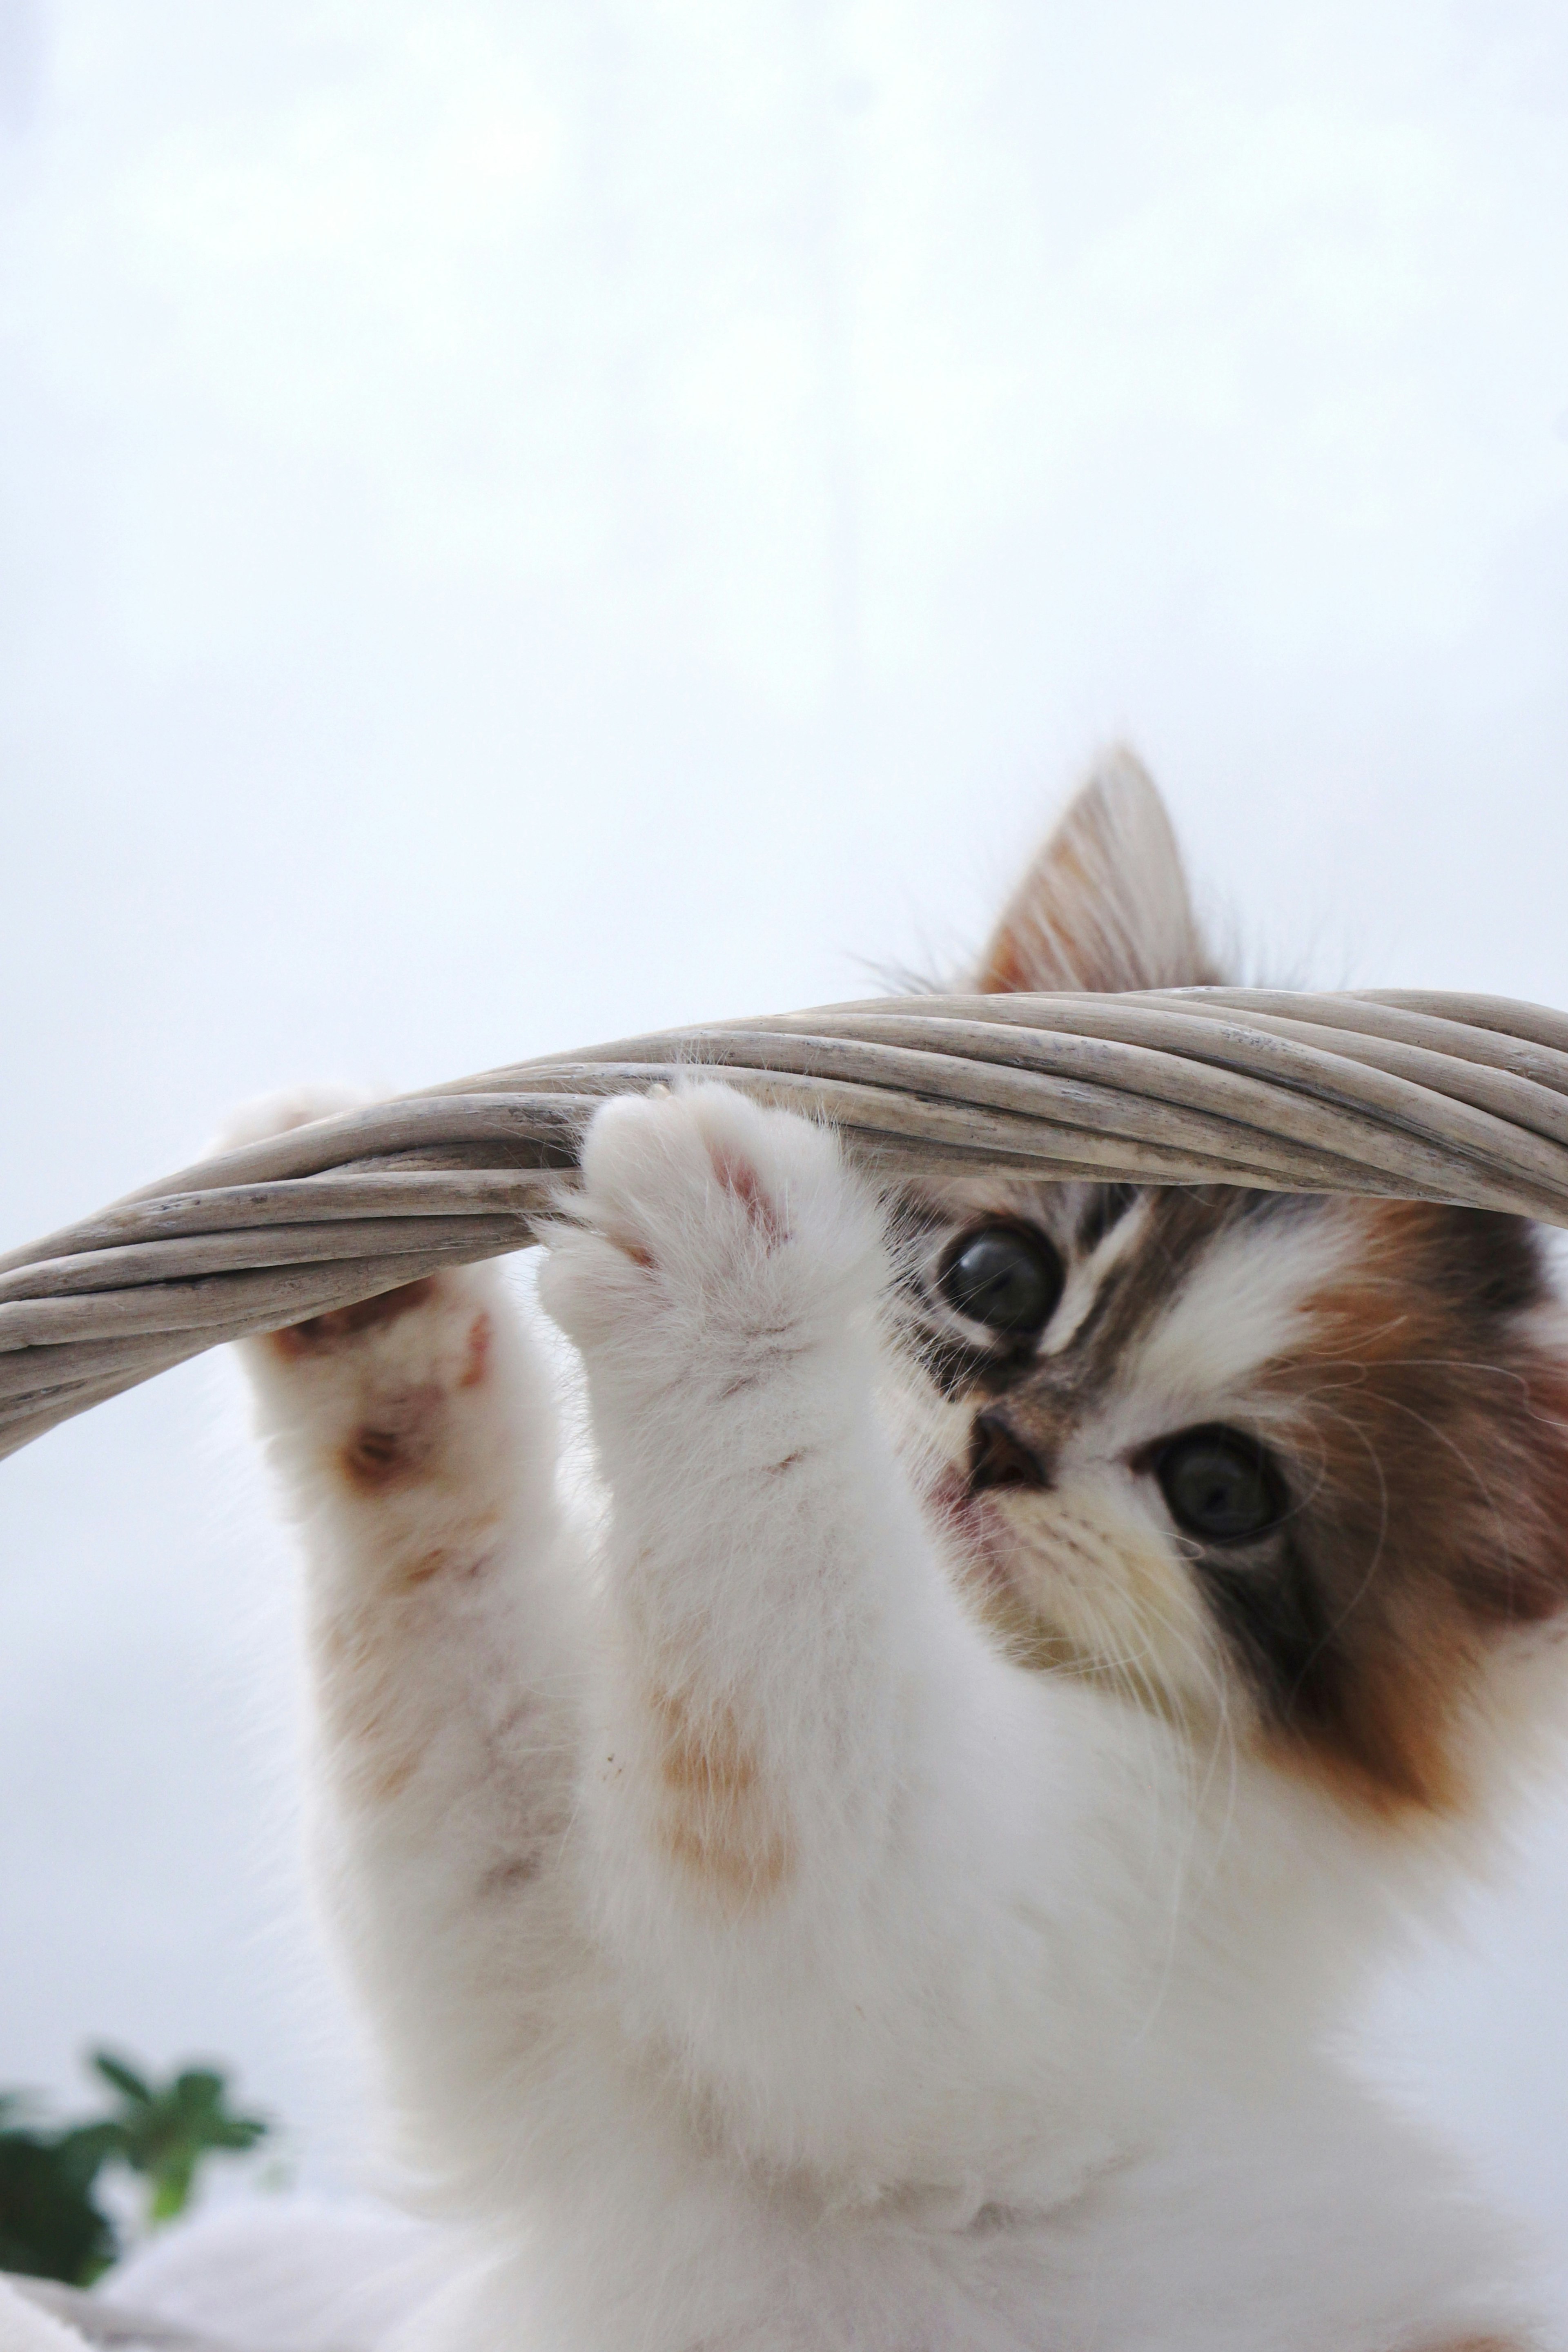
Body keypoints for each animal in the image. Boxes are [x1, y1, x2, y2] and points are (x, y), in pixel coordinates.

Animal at [205, 762, 1568, 2342]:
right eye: (998, 1280)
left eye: (1220, 1491)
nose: (1003, 1445)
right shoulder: (519, 1958)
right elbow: (442, 1621)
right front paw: (382, 1327)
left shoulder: (960, 1970)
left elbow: (810, 1672)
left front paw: (733, 1269)